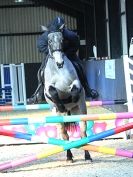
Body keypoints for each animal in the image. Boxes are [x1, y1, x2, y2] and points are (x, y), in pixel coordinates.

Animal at [43, 31, 92, 162]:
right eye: (49, 41)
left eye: (62, 40)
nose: (60, 63)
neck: (58, 70)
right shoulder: (48, 88)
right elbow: (53, 92)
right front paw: (60, 105)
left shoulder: (76, 82)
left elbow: (75, 89)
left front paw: (73, 98)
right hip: (59, 118)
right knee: (64, 136)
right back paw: (69, 156)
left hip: (80, 110)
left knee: (83, 134)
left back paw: (87, 156)